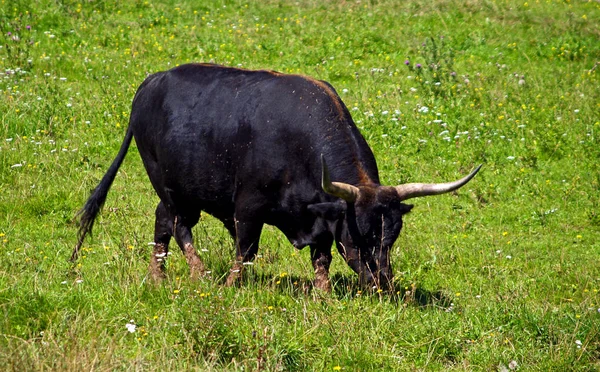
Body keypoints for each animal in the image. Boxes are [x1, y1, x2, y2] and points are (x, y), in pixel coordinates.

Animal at [71, 63, 482, 290]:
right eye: (362, 233)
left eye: (392, 236)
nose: (381, 284)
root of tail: (151, 82)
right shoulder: (248, 208)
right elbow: (245, 252)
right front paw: (232, 287)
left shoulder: (322, 216)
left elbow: (322, 258)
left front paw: (324, 295)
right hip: (168, 183)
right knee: (178, 224)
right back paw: (199, 274)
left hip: (182, 189)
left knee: (162, 223)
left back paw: (159, 277)